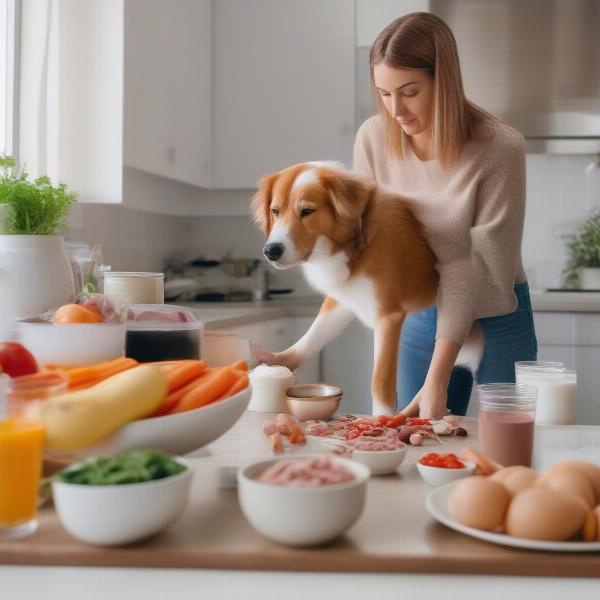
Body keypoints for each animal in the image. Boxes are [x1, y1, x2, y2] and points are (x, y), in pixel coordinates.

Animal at [248, 162, 482, 414]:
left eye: (307, 211)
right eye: (275, 211)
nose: (271, 251)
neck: (360, 239)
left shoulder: (388, 317)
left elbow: (379, 381)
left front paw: (382, 416)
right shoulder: (345, 296)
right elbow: (316, 333)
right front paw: (280, 360)